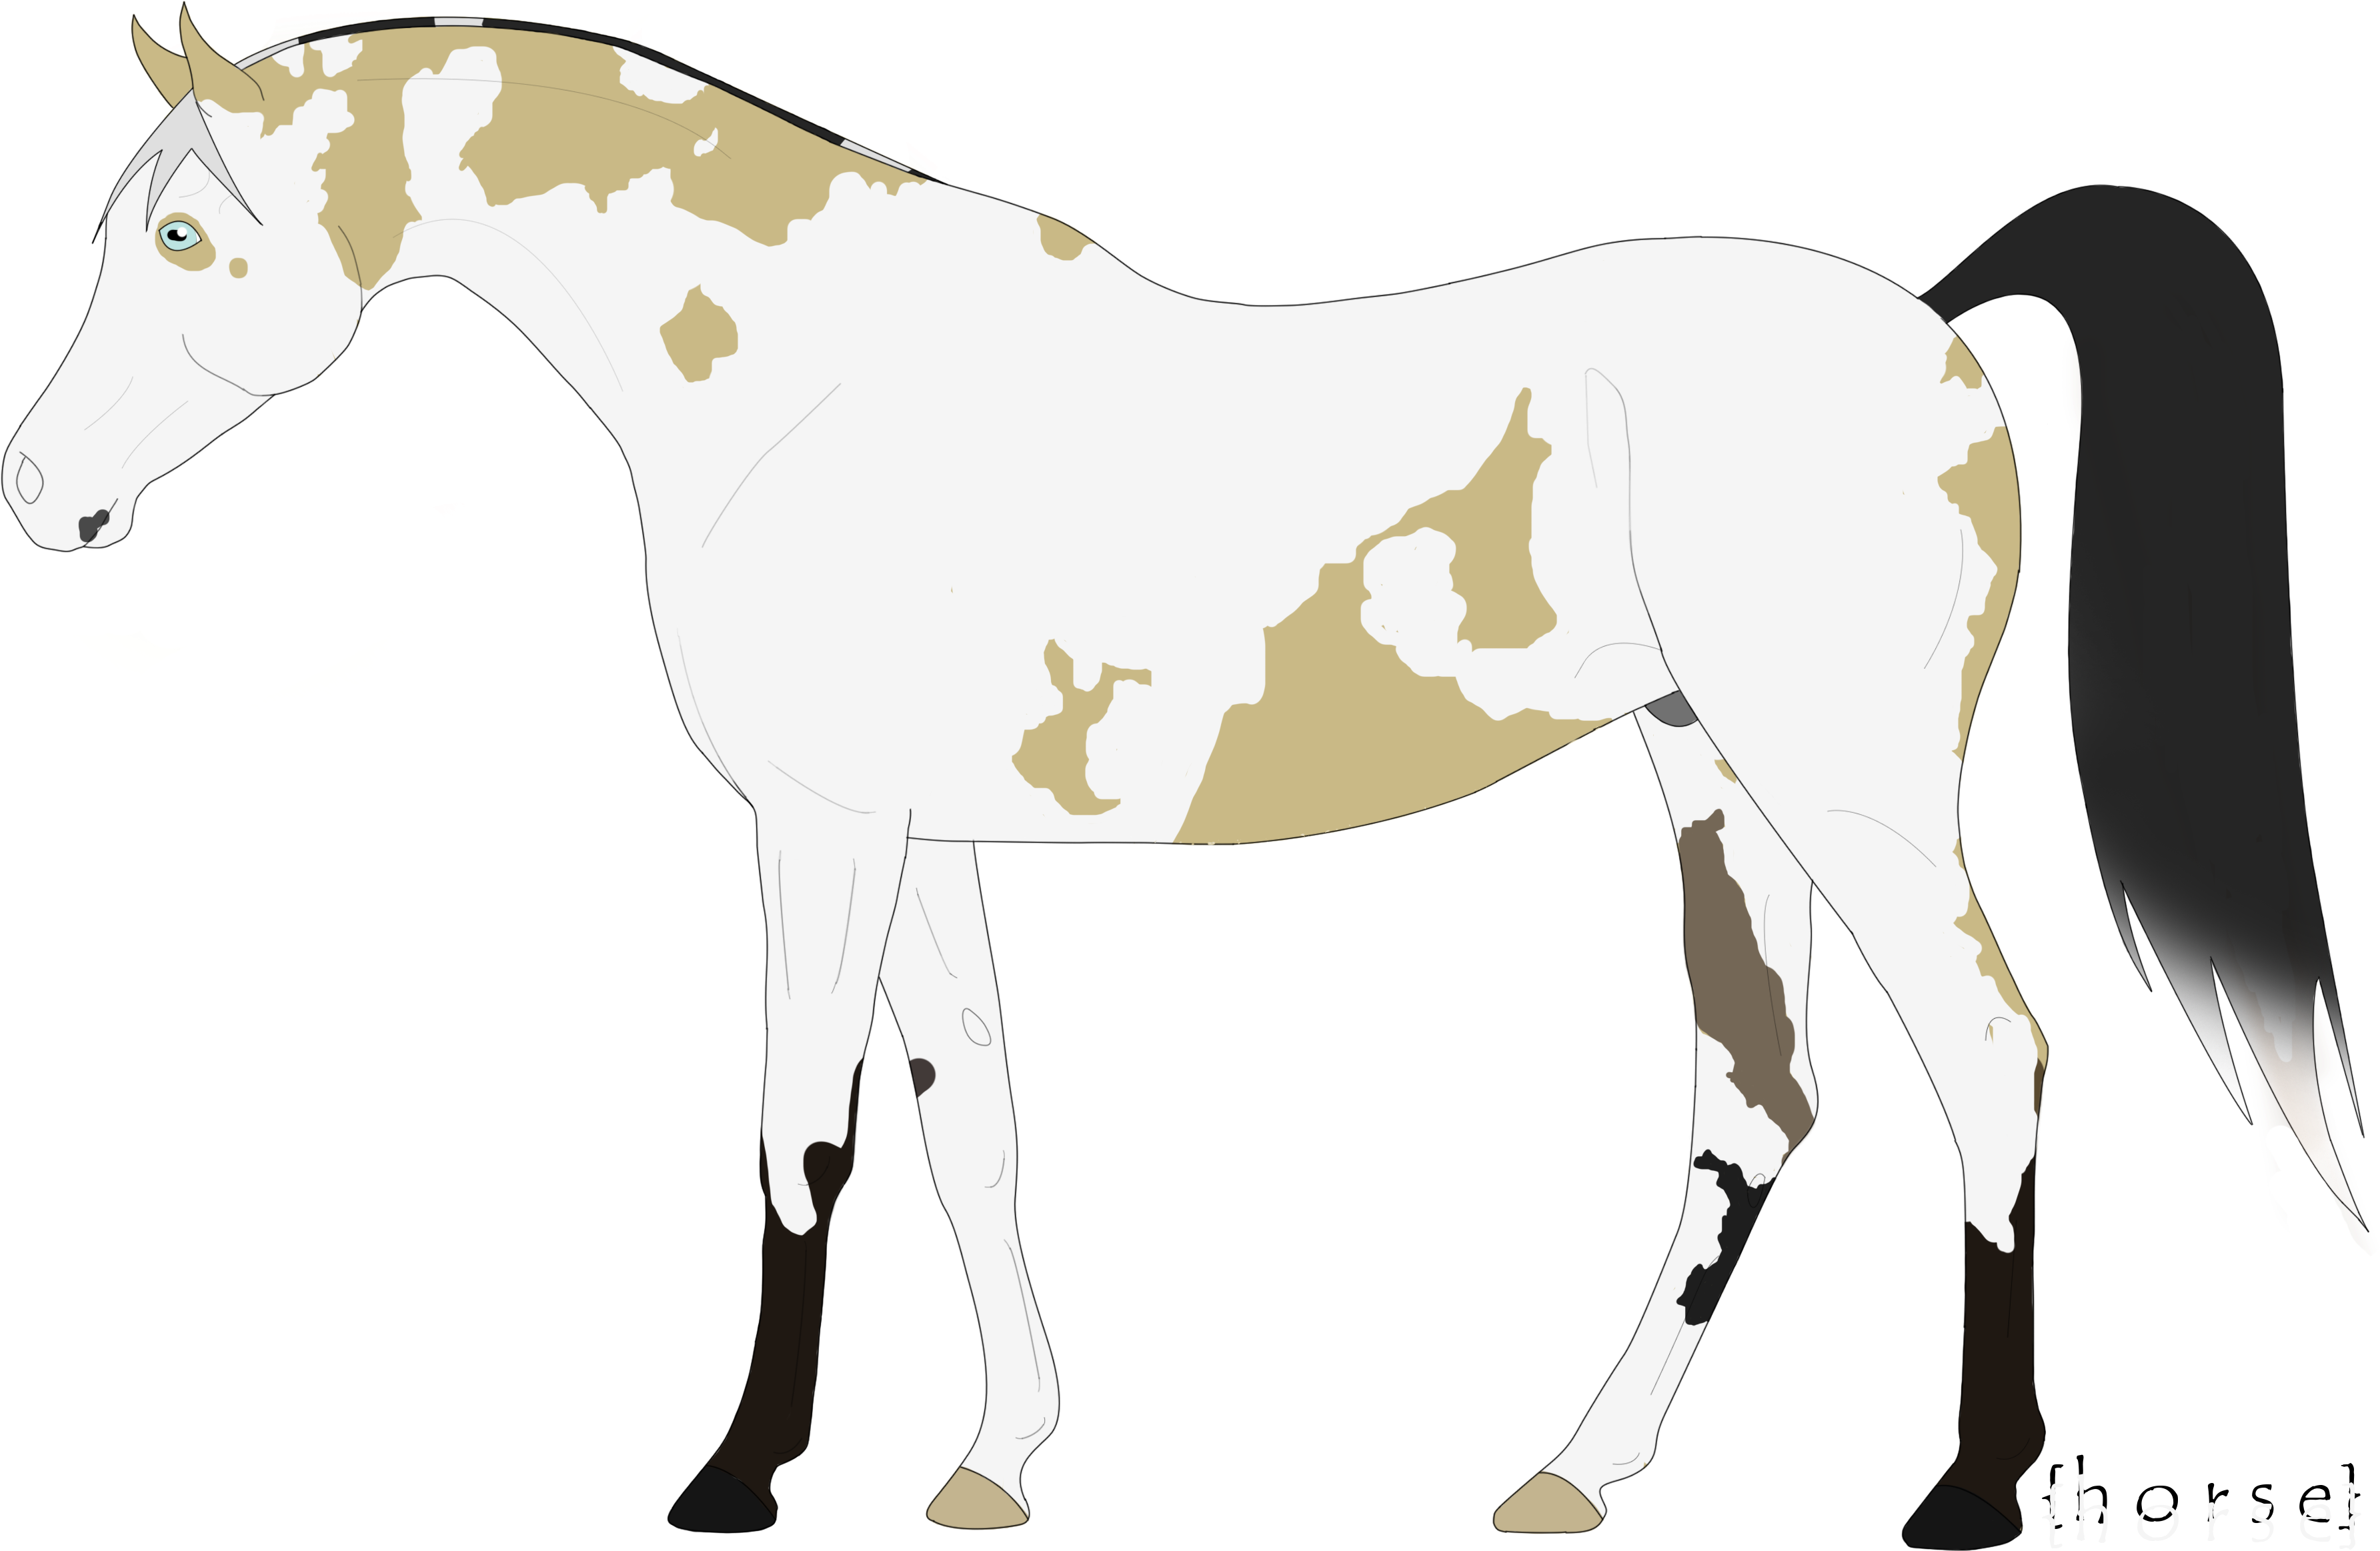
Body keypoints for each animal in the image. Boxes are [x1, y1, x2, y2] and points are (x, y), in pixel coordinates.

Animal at [8, 9, 2364, 1541]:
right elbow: (969, 1125)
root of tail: (1932, 319)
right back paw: (1570, 1474)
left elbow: (798, 1126)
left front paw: (737, 1473)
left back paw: (1966, 1487)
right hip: (1712, 777)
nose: (39, 499)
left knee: (1988, 1065)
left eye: (187, 241)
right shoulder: (924, 835)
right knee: (1752, 1103)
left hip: (1845, 782)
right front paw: (991, 1462)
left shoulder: (818, 825)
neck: (797, 384)